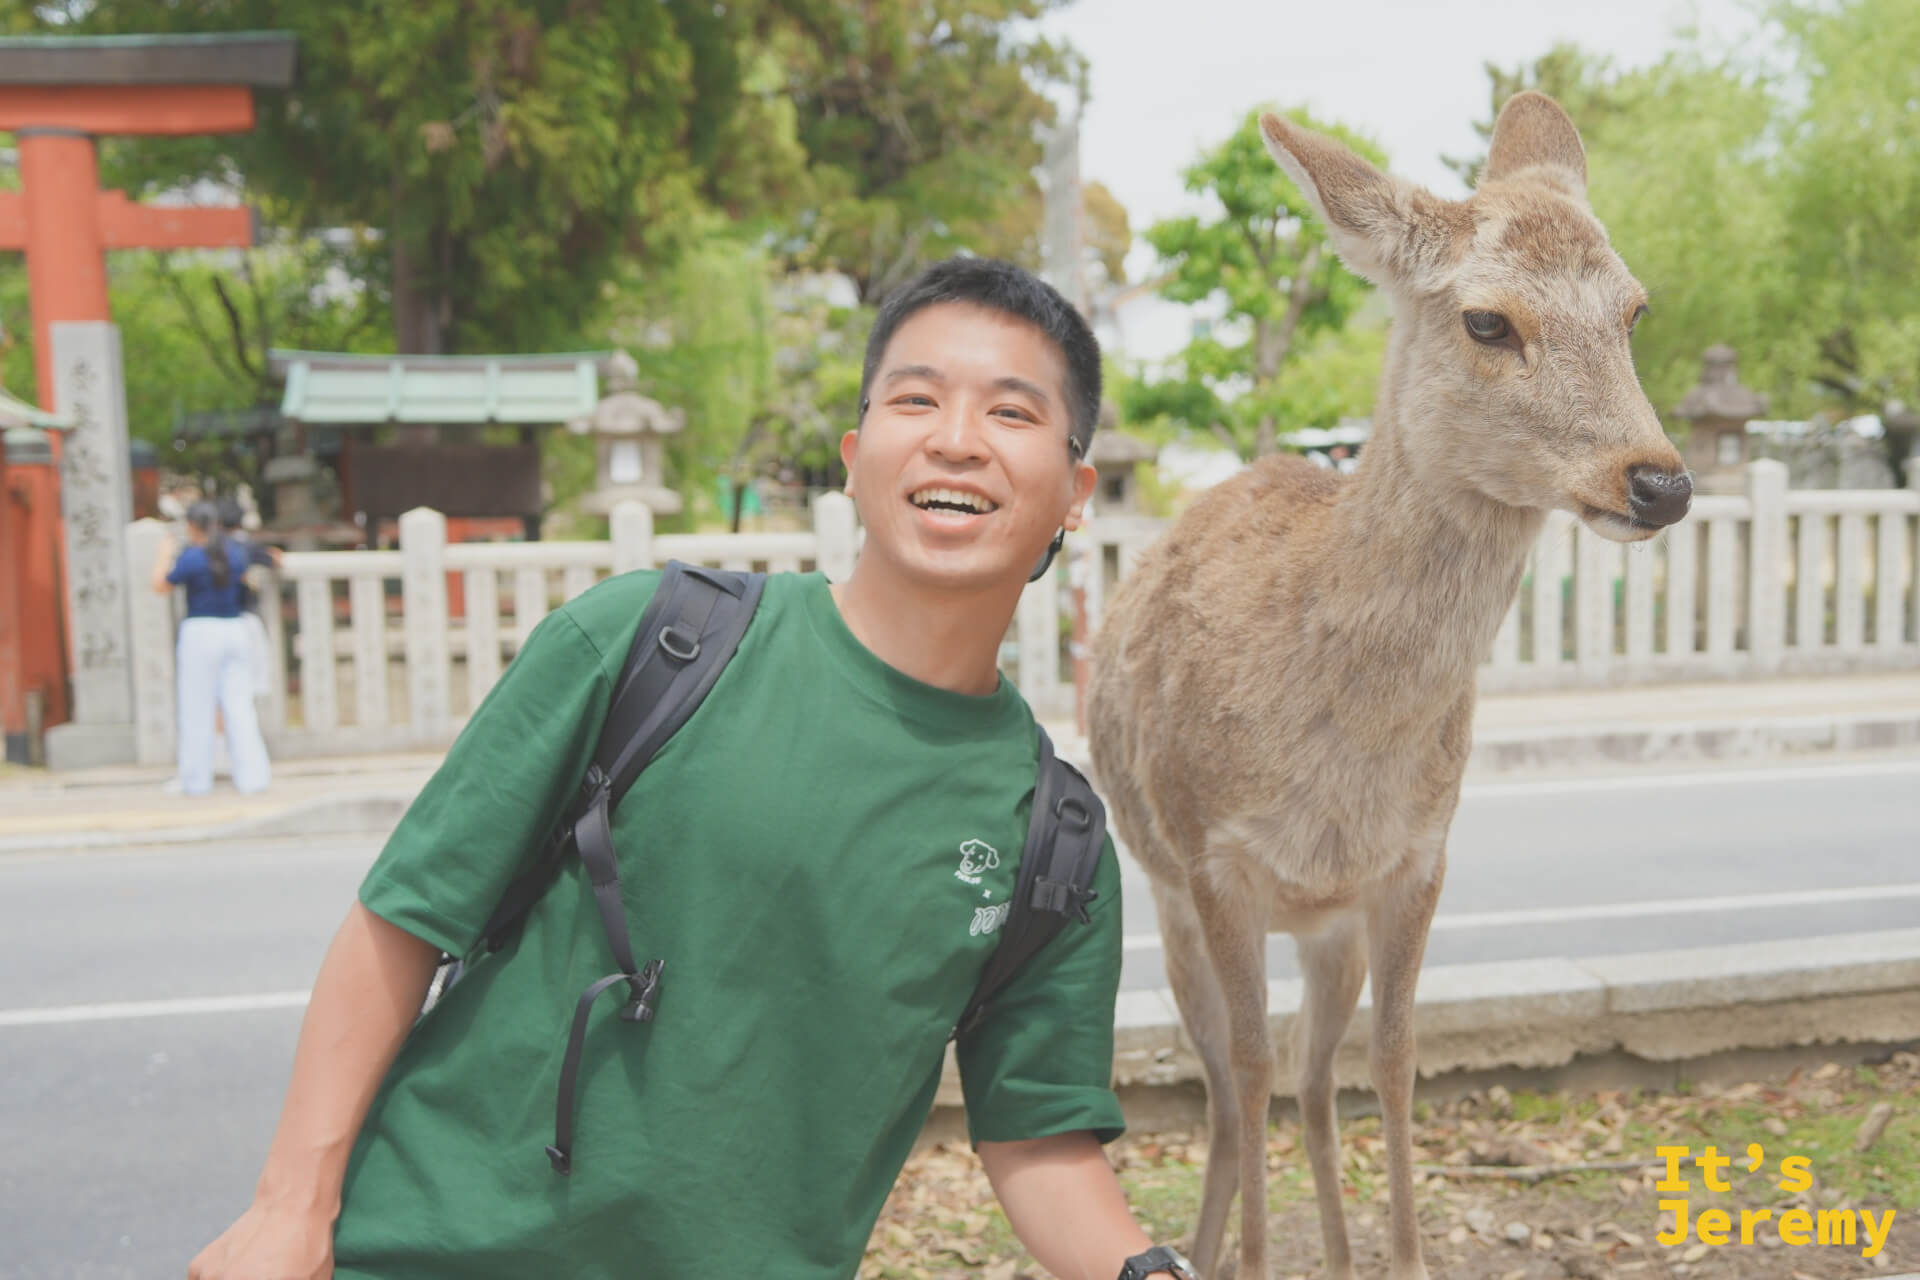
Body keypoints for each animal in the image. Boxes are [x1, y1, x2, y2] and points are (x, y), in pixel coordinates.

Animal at [1085, 92, 1693, 1280]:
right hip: (1164, 894)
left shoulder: (1415, 859)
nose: (1659, 480)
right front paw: (1250, 1262)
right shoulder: (1216, 858)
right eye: (1488, 322)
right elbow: (1248, 1068)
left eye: (1636, 308)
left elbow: (1398, 1058)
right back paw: (1205, 1246)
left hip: (1327, 930)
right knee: (1227, 1083)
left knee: (1317, 1073)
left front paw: (1401, 1256)